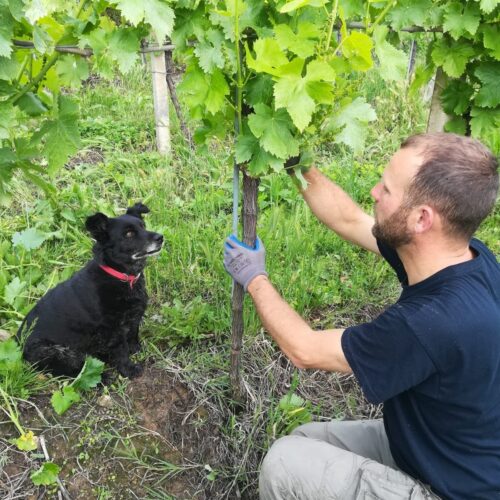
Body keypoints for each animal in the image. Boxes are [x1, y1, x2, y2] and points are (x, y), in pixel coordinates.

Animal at [18, 201, 163, 376]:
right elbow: (121, 351)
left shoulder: (134, 317)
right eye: (128, 234)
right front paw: (128, 369)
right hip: (54, 352)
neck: (121, 276)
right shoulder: (113, 330)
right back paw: (103, 376)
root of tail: (19, 344)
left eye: (143, 226)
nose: (160, 238)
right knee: (74, 372)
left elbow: (133, 334)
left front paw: (136, 348)